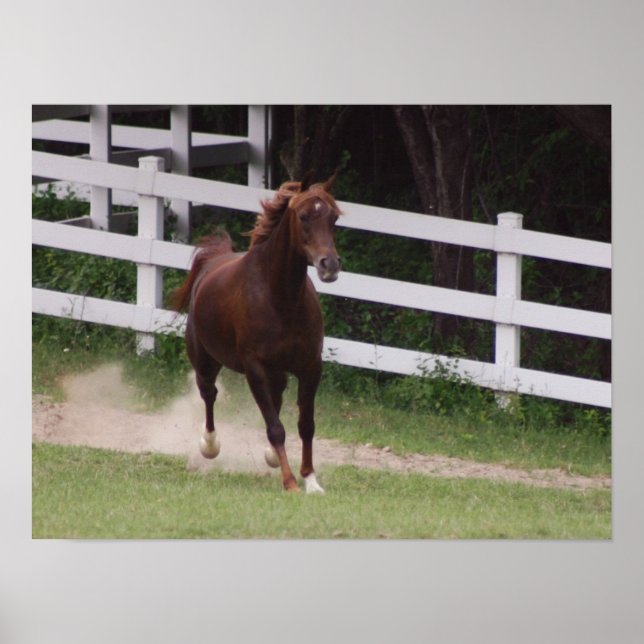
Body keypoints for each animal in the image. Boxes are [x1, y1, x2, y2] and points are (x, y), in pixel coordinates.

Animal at [171, 175, 342, 493]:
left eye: (334, 218)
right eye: (303, 217)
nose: (330, 265)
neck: (281, 299)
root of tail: (213, 260)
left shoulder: (311, 366)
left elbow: (306, 425)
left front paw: (311, 480)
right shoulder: (255, 368)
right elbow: (276, 428)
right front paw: (290, 482)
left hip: (278, 373)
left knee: (275, 400)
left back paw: (271, 457)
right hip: (205, 362)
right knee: (209, 395)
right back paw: (209, 446)